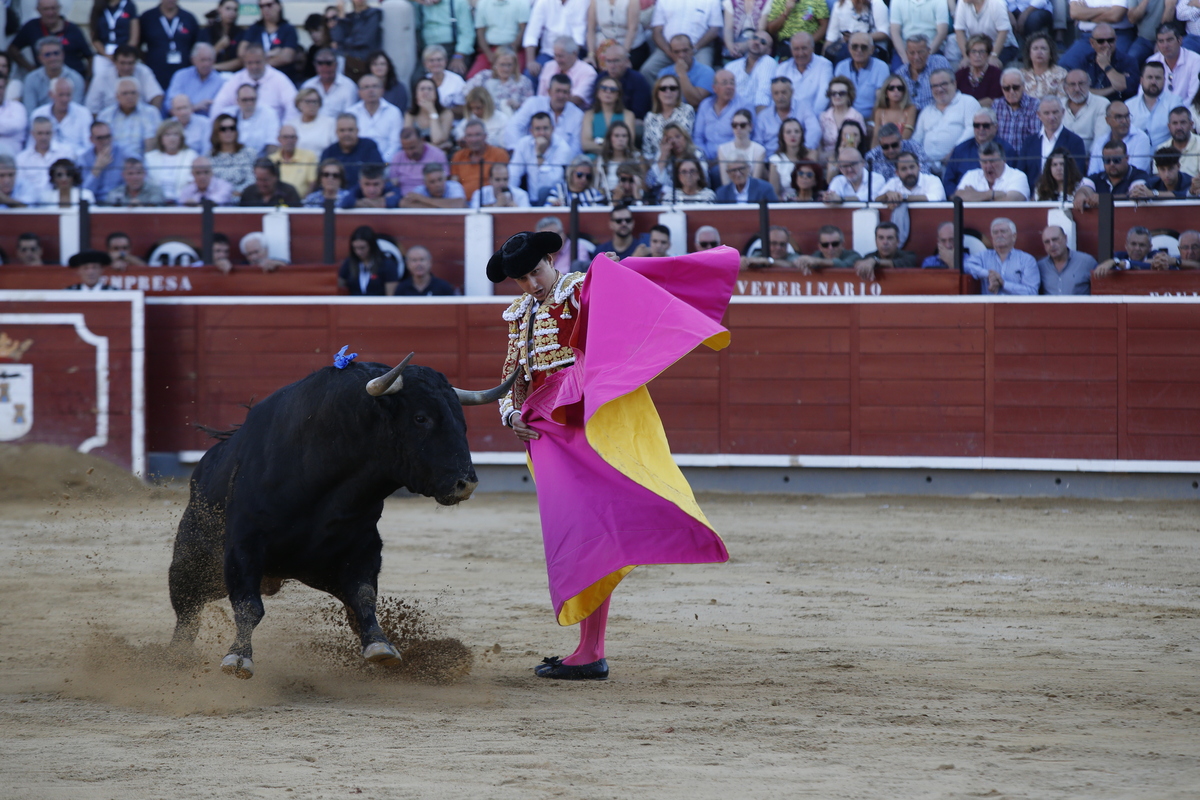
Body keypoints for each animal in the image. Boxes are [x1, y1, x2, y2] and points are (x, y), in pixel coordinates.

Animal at [168, 359, 511, 681]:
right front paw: (238, 658)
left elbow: (363, 596)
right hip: (192, 562)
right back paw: (175, 657)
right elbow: (248, 605)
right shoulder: (244, 545)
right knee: (188, 611)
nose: (466, 483)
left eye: (461, 420)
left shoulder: (362, 547)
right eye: (420, 417)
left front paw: (380, 645)